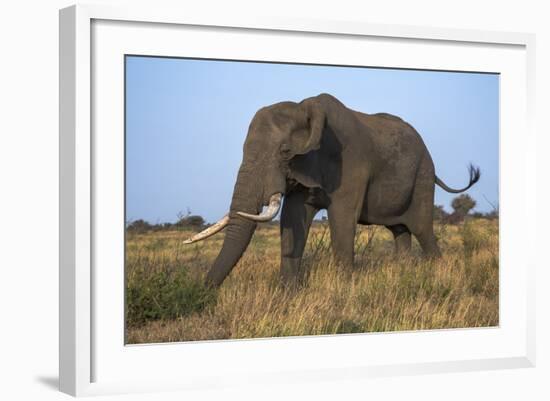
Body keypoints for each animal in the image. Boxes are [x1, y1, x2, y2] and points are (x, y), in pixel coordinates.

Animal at [184, 93, 478, 288]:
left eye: (285, 151)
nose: (204, 293)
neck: (306, 109)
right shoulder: (305, 169)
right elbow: (292, 219)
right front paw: (287, 294)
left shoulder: (351, 164)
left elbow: (342, 220)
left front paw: (344, 292)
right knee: (400, 231)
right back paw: (404, 275)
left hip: (423, 176)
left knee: (422, 230)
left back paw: (438, 274)